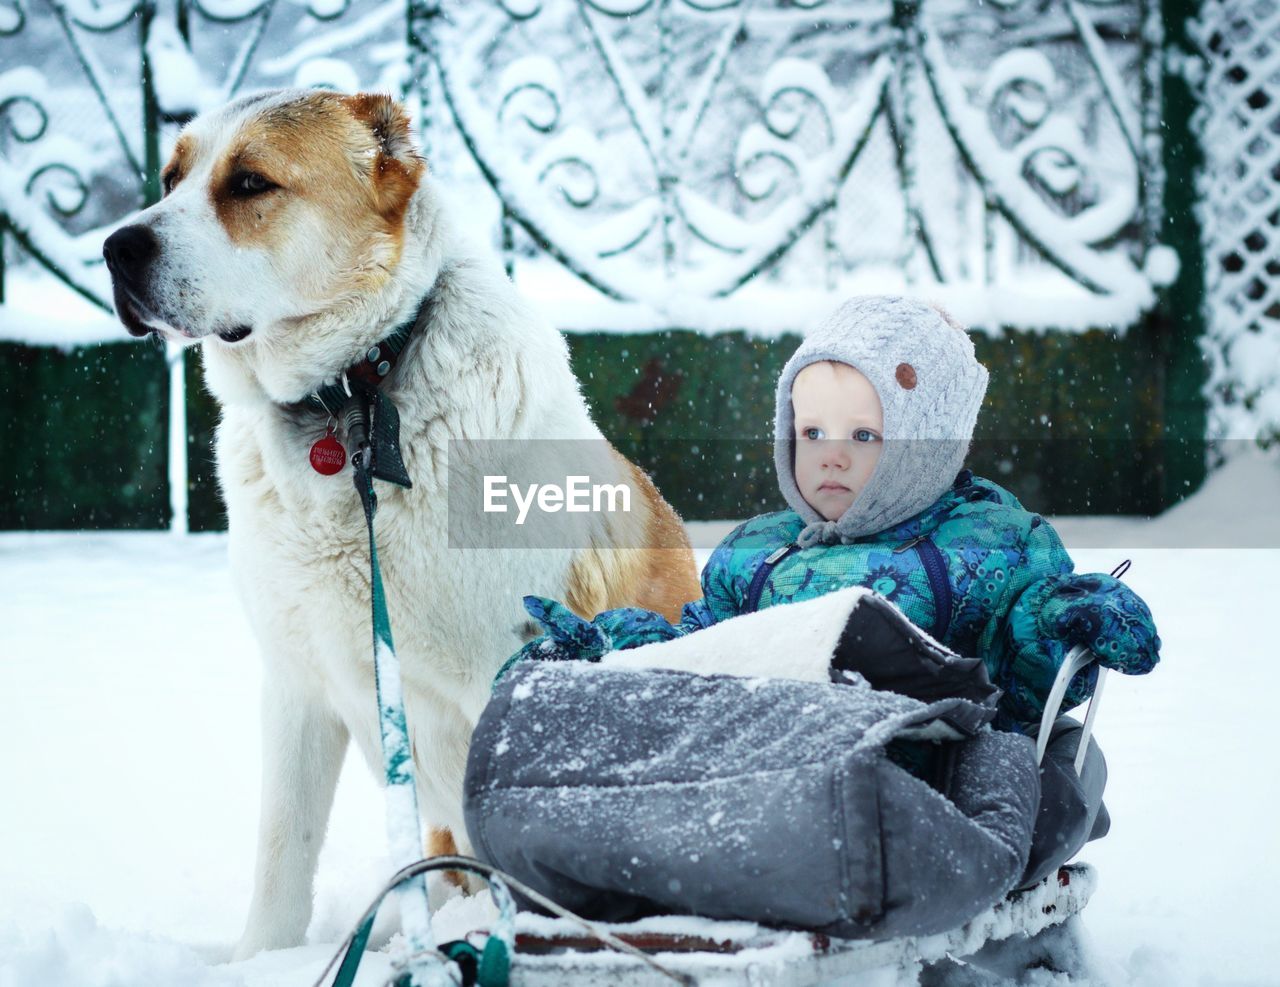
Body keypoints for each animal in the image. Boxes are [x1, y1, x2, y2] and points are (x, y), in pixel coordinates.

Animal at [99, 90, 701, 957]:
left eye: (249, 182)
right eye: (171, 177)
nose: (116, 247)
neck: (354, 399)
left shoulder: (502, 686)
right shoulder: (297, 685)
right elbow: (282, 857)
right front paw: (261, 962)